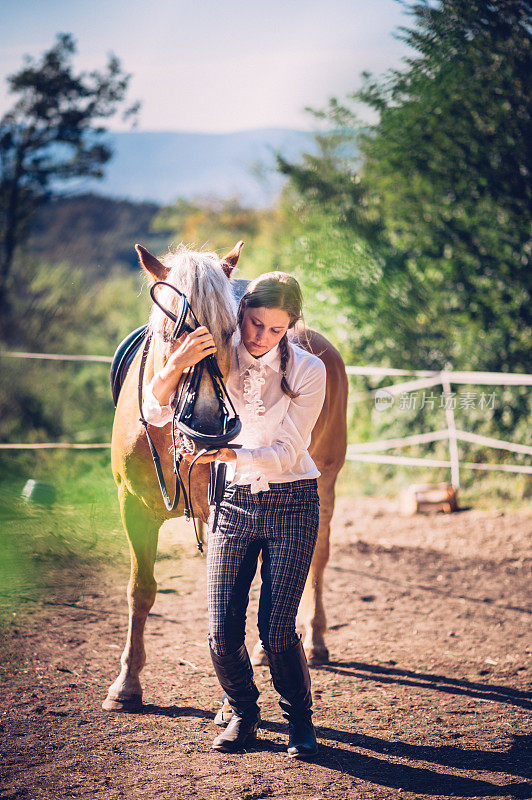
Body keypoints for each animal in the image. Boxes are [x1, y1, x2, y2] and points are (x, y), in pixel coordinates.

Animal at [103, 244, 350, 712]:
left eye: (226, 329)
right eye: (171, 332)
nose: (206, 425)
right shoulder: (132, 507)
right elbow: (140, 590)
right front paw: (126, 684)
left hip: (325, 484)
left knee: (317, 558)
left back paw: (313, 640)